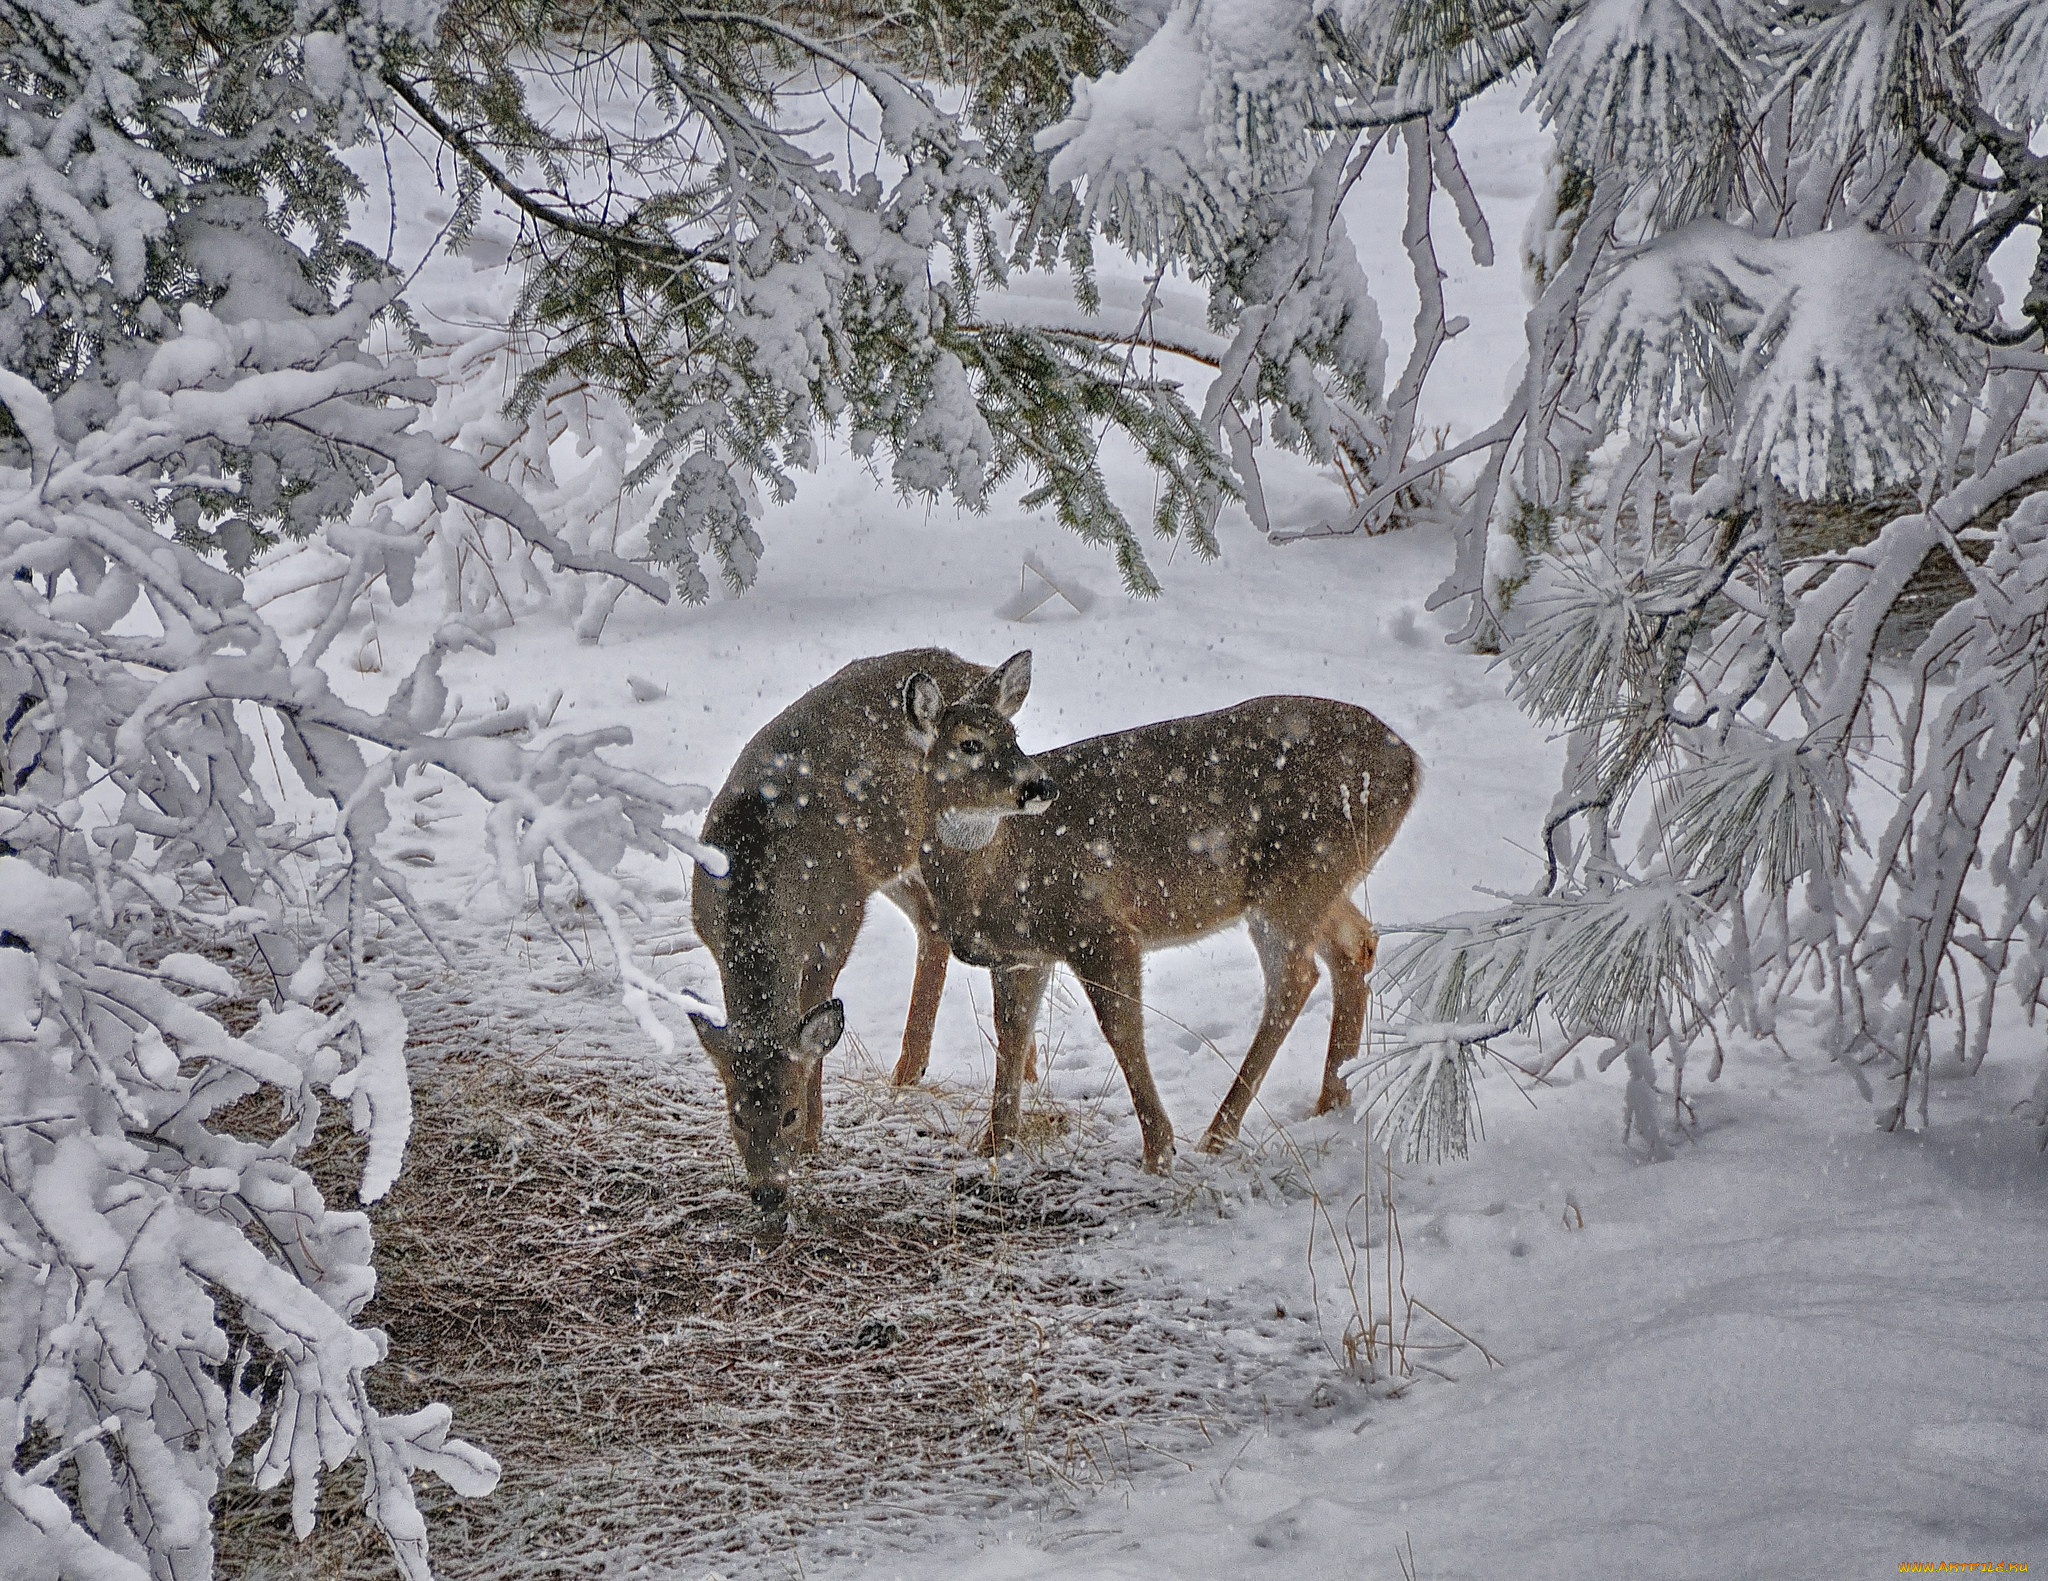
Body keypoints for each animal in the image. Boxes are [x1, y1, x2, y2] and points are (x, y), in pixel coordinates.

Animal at [688, 643, 999, 1212]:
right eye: (736, 1116)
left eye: (787, 1112)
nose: (768, 1192)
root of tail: (971, 666)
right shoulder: (709, 932)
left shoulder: (839, 921)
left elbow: (814, 1024)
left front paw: (814, 1136)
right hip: (895, 861)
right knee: (933, 924)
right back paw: (909, 1070)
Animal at [905, 647, 1417, 1171]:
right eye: (970, 744)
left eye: (1013, 737)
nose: (1039, 787)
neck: (994, 872)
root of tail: (1411, 763)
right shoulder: (1020, 955)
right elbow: (1011, 1034)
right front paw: (993, 1145)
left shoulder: (1099, 926)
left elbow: (1122, 1029)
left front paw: (1158, 1149)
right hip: (1322, 881)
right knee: (1356, 945)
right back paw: (1332, 1102)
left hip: (1297, 879)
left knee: (1295, 978)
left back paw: (1219, 1133)